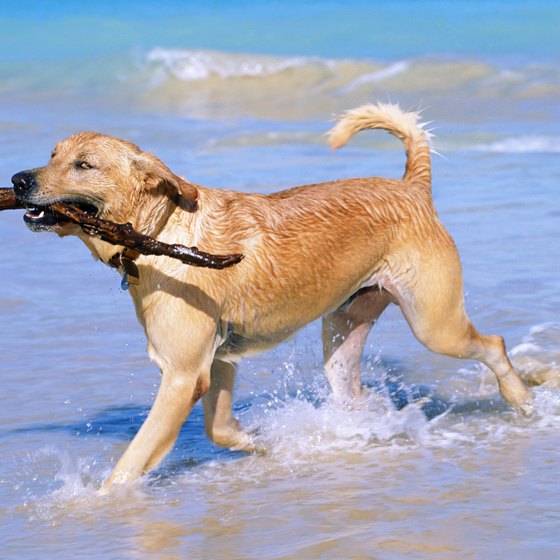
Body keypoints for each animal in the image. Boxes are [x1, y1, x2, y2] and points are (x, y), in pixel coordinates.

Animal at [10, 104, 536, 490]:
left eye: (83, 165)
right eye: (51, 155)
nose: (17, 180)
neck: (161, 231)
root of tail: (413, 186)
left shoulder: (182, 375)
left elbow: (130, 463)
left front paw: (94, 504)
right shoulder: (219, 361)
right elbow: (221, 429)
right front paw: (267, 444)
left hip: (434, 323)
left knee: (493, 345)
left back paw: (522, 400)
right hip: (342, 337)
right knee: (352, 393)